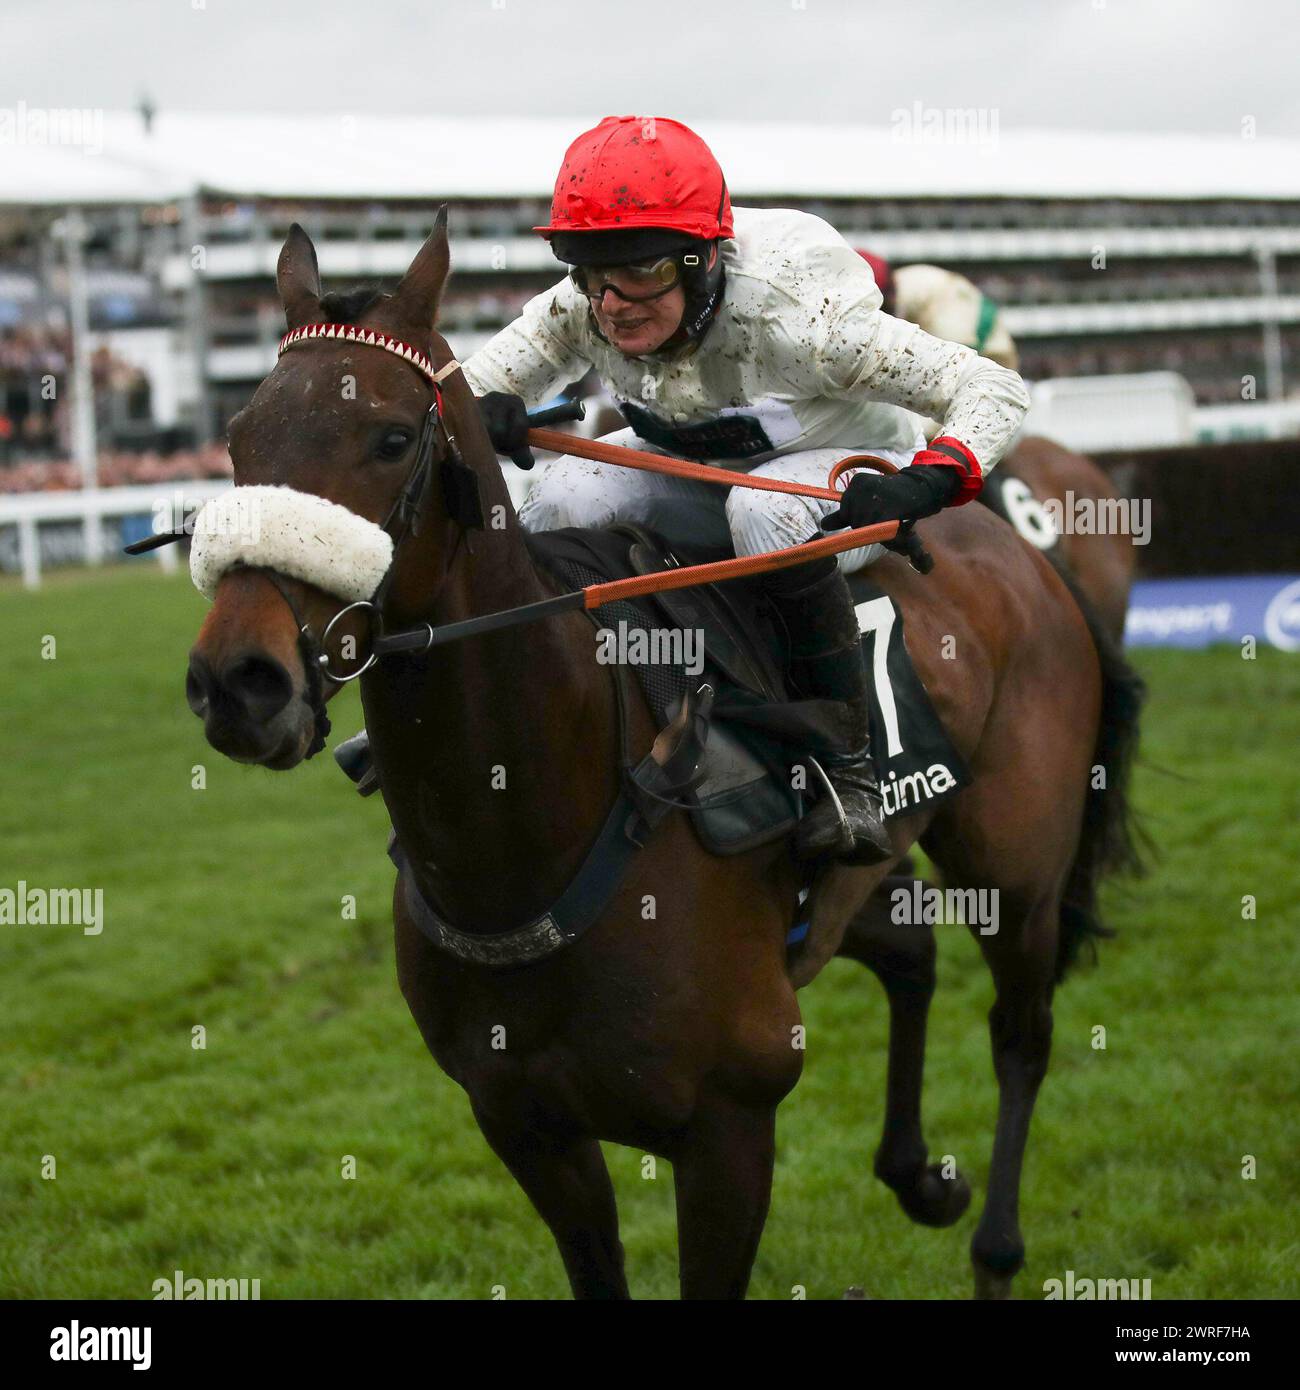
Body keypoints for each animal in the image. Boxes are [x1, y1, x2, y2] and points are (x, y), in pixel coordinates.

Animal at [184, 214, 1151, 1289]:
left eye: (392, 439)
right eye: (238, 439)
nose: (240, 680)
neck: (527, 835)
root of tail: (1031, 557)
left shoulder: (729, 1124)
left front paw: (904, 487)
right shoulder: (526, 1126)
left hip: (1015, 862)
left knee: (1021, 1034)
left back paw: (995, 1248)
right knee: (908, 948)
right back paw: (920, 1177)